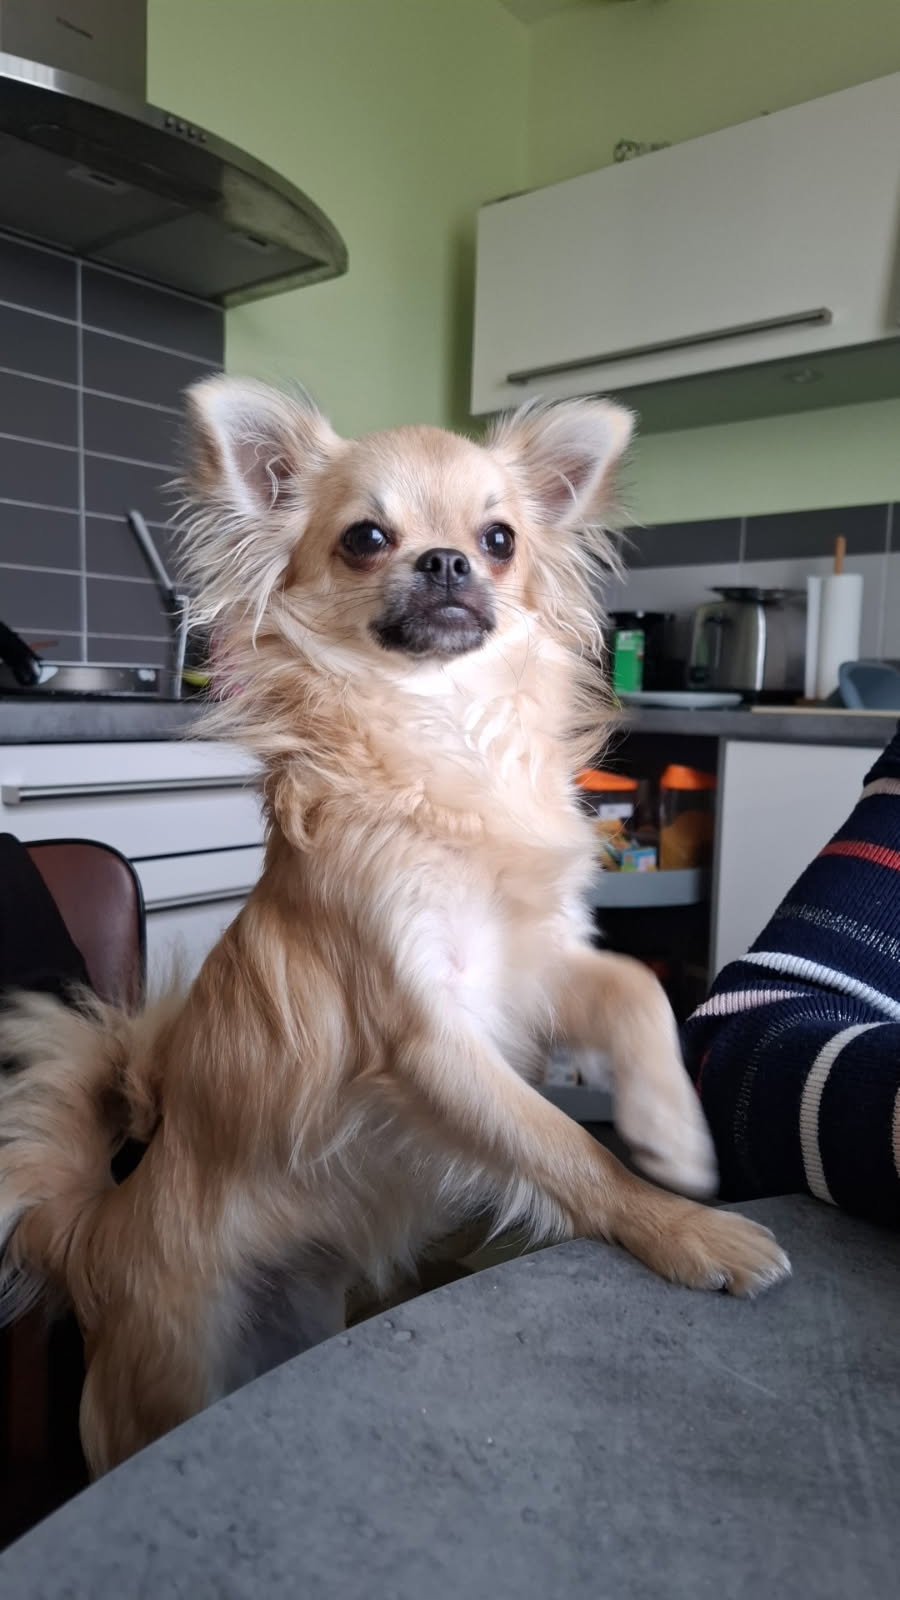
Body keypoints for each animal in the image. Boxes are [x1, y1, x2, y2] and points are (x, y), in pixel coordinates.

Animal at [0, 381, 790, 1475]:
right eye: (366, 538)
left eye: (500, 538)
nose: (449, 559)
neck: (440, 736)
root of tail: (99, 1231)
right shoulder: (424, 1037)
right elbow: (561, 1147)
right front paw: (682, 1227)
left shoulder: (530, 967)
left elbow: (635, 988)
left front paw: (672, 1135)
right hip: (165, 1377)